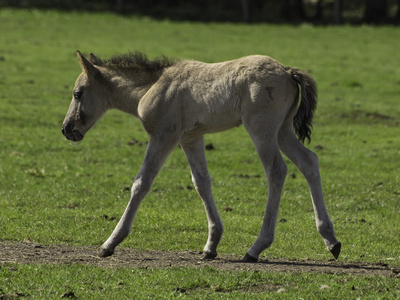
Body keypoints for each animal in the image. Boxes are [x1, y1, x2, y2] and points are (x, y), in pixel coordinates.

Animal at [61, 50, 340, 262]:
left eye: (78, 93)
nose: (66, 129)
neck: (152, 86)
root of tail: (288, 71)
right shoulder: (190, 139)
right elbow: (202, 183)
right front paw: (211, 245)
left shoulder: (164, 136)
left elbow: (142, 183)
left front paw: (109, 243)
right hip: (282, 130)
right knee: (308, 161)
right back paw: (331, 240)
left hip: (262, 129)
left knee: (276, 171)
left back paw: (256, 248)